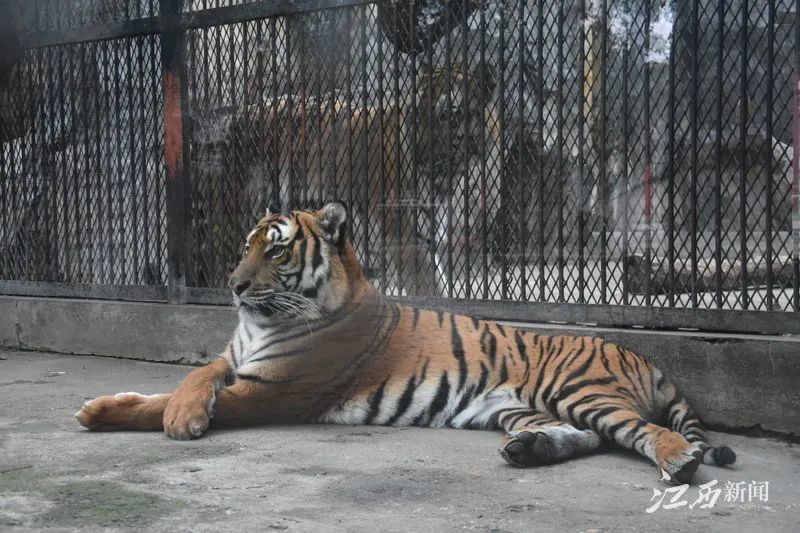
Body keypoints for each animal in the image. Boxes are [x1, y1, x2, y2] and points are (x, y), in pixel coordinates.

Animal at [76, 203, 736, 482]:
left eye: (278, 249)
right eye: (246, 246)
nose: (234, 286)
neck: (260, 323)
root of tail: (639, 352)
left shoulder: (275, 390)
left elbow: (167, 403)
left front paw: (162, 419)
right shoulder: (231, 359)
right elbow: (188, 378)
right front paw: (111, 406)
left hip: (579, 390)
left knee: (642, 430)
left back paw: (679, 461)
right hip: (521, 409)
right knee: (587, 437)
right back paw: (529, 452)